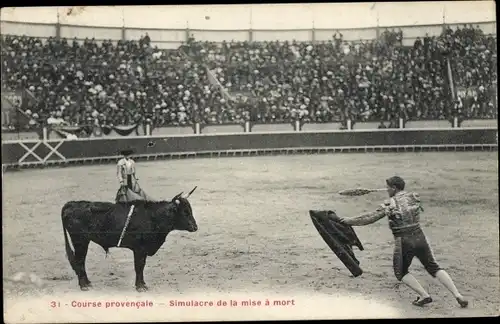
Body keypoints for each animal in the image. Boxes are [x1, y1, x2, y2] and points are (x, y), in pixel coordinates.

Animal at [60, 187, 197, 292]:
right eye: (185, 212)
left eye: (190, 210)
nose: (195, 227)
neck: (153, 217)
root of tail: (71, 204)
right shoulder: (139, 249)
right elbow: (139, 266)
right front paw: (140, 287)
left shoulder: (143, 250)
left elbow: (141, 266)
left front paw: (143, 284)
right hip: (80, 241)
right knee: (79, 261)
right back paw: (84, 285)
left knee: (80, 261)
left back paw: (87, 283)